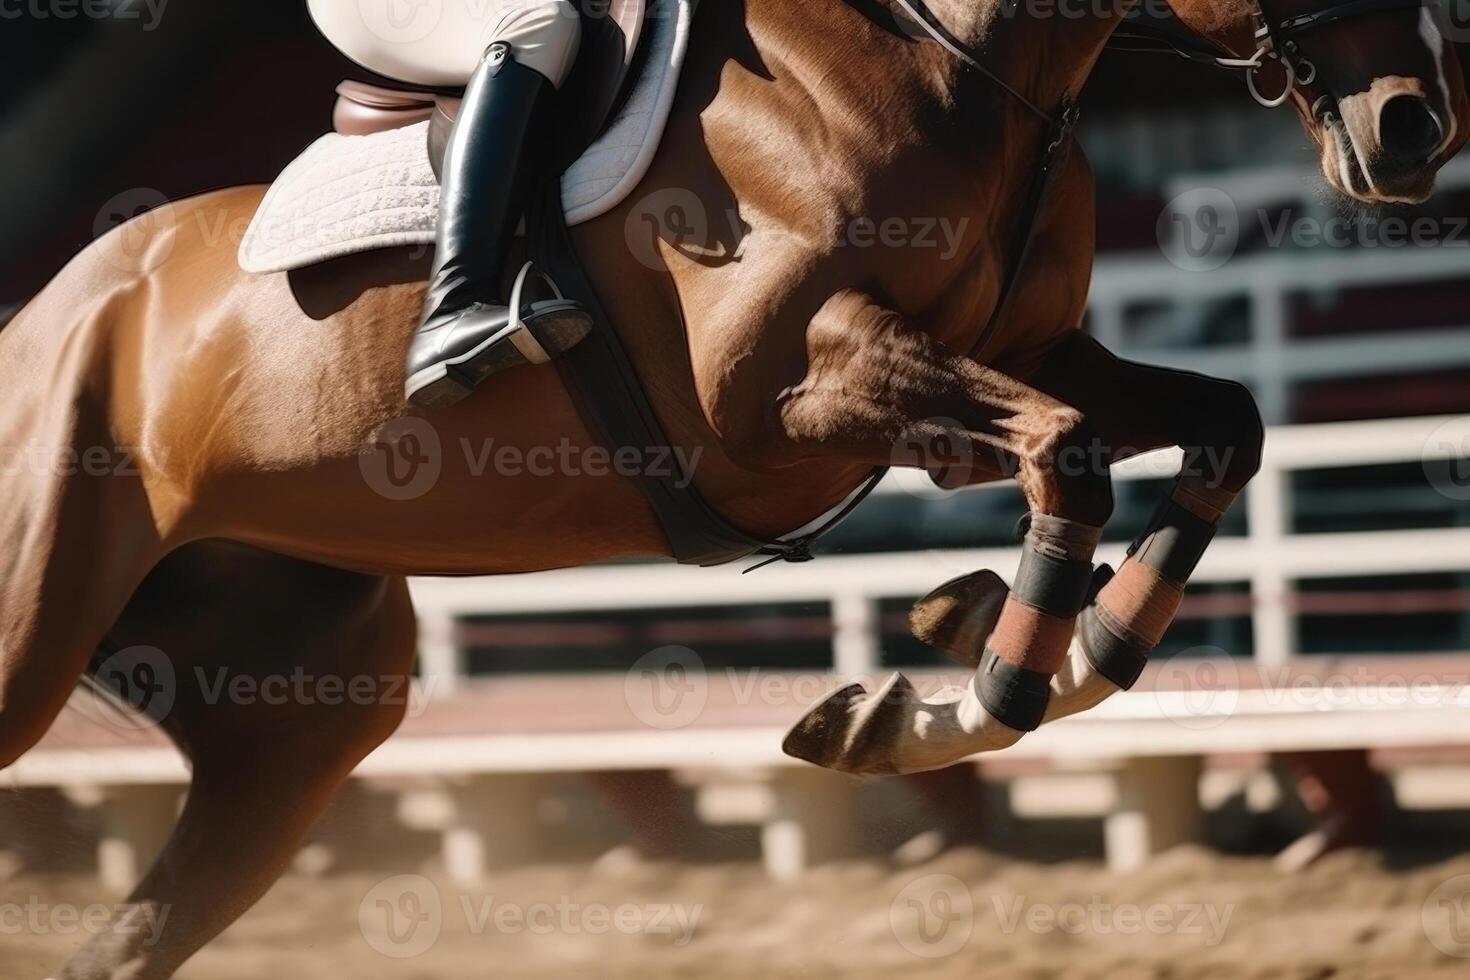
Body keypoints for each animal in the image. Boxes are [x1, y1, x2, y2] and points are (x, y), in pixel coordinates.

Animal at [0, 0, 1464, 975]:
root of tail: (42, 311)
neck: (956, 66)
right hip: (37, 621)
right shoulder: (782, 397)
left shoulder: (1037, 353)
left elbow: (1218, 431)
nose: (1413, 127)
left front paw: (1017, 655)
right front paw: (958, 676)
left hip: (306, 698)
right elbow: (1066, 457)